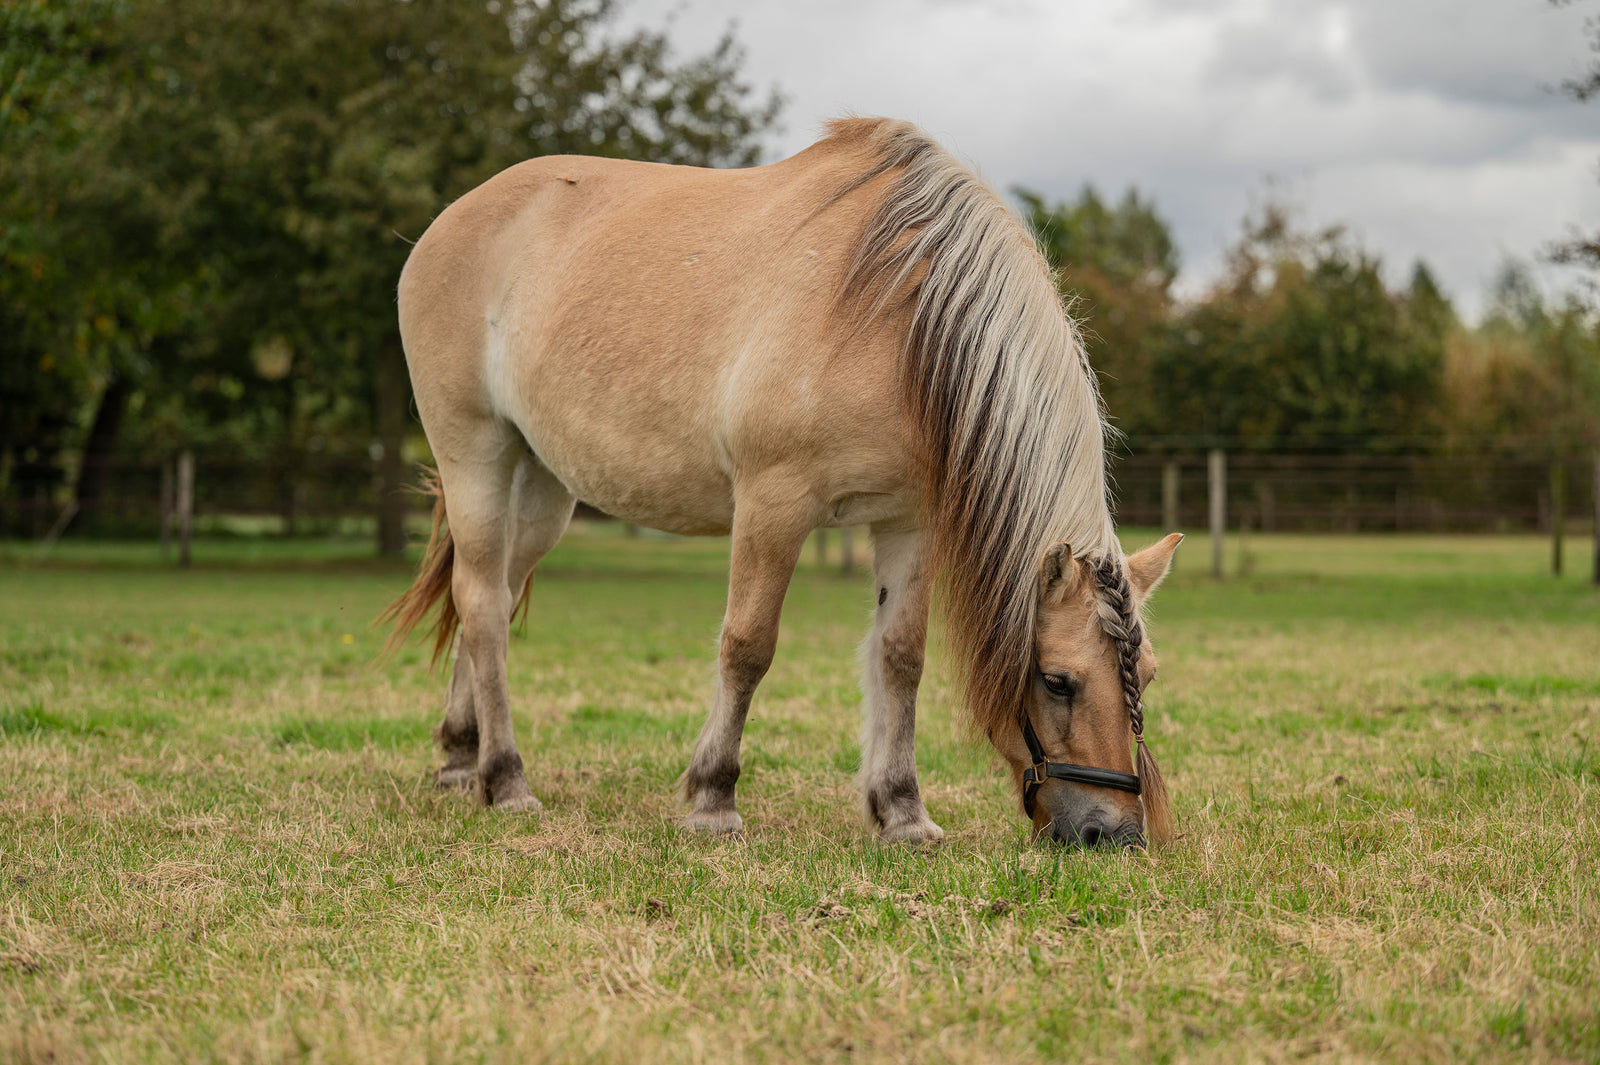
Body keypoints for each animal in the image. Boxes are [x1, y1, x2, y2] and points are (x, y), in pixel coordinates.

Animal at [384, 115, 1190, 844]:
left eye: (1149, 674)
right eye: (1057, 680)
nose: (1114, 832)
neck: (900, 317)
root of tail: (453, 219)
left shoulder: (908, 520)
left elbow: (900, 656)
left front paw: (902, 812)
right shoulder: (773, 504)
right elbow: (748, 645)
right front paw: (713, 801)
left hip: (544, 488)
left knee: (488, 594)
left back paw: (460, 758)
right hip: (476, 456)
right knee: (483, 604)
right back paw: (506, 779)